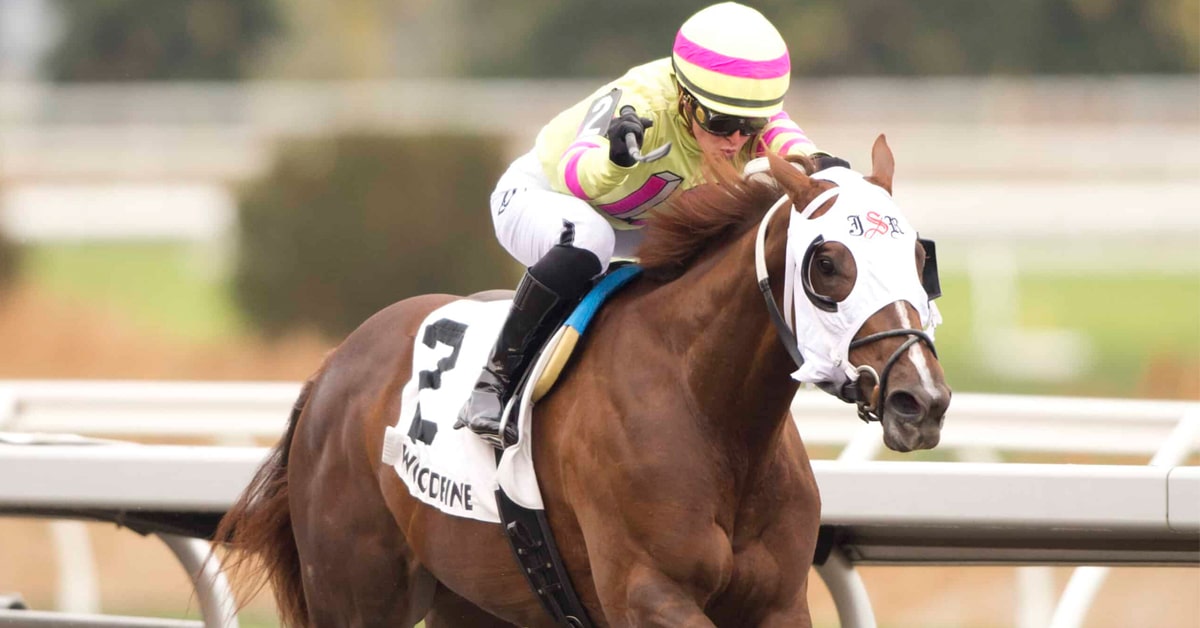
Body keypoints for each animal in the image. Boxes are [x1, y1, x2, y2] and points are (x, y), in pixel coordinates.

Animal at [214, 135, 950, 627]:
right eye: (827, 263)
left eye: (920, 256)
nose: (921, 400)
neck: (712, 415)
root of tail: (332, 368)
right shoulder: (648, 594)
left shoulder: (777, 603)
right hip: (356, 591)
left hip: (474, 598)